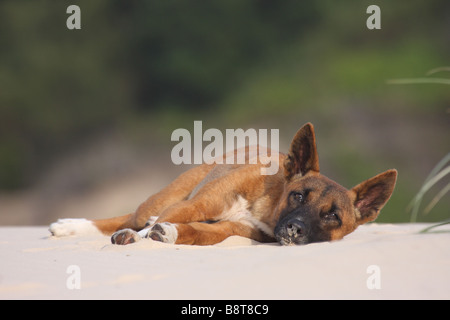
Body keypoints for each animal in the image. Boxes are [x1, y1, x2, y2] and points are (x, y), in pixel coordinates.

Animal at [50, 122, 398, 245]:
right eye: (298, 196)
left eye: (332, 216)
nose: (294, 229)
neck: (267, 206)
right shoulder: (195, 205)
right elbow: (156, 223)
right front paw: (140, 236)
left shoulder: (228, 230)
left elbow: (192, 232)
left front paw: (168, 235)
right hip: (164, 198)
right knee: (128, 217)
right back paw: (70, 226)